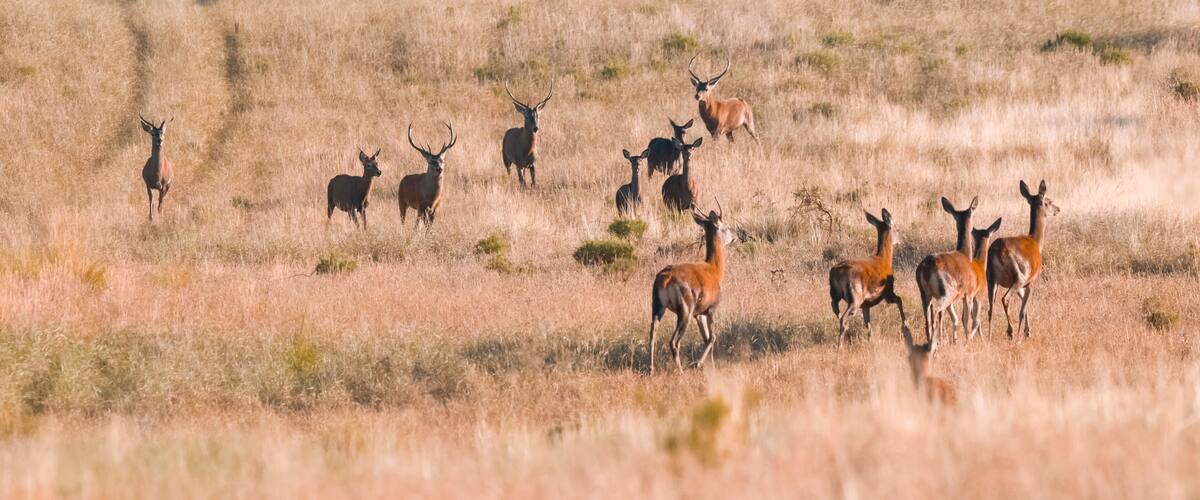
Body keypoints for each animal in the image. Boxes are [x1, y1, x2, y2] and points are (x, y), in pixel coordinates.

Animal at [647, 204, 736, 375]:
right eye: (726, 226)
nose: (735, 237)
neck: (714, 270)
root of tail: (666, 278)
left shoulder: (698, 314)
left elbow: (706, 338)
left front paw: (710, 366)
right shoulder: (711, 309)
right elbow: (712, 337)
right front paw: (698, 364)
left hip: (657, 307)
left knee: (652, 334)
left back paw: (650, 370)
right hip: (685, 310)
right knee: (673, 342)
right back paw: (681, 372)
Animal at [828, 208, 909, 347]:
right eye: (897, 228)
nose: (903, 239)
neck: (885, 260)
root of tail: (836, 272)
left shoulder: (866, 304)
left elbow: (867, 323)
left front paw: (871, 340)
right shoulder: (887, 292)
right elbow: (899, 299)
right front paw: (905, 325)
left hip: (835, 294)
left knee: (836, 312)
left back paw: (847, 337)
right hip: (855, 296)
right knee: (844, 318)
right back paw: (840, 346)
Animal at [915, 197, 978, 345]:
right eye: (973, 214)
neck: (965, 254)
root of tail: (926, 269)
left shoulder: (955, 299)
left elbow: (955, 318)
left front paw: (956, 340)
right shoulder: (968, 293)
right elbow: (966, 319)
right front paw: (967, 340)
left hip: (924, 293)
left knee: (927, 314)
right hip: (946, 292)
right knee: (937, 311)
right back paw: (939, 341)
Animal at [988, 180, 1061, 340]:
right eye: (1049, 201)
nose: (1058, 209)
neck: (1036, 242)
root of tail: (999, 250)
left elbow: (1024, 304)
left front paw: (1028, 331)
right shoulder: (1031, 281)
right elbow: (1023, 308)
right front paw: (1023, 334)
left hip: (991, 278)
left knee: (990, 307)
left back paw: (987, 337)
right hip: (1018, 277)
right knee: (1005, 299)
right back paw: (1011, 332)